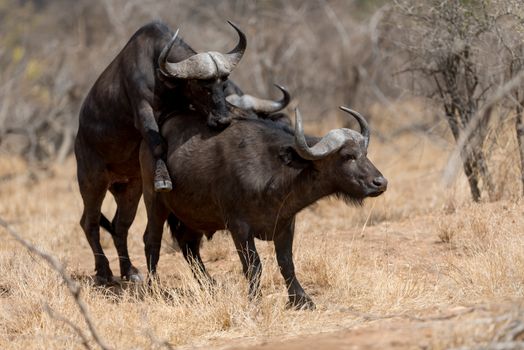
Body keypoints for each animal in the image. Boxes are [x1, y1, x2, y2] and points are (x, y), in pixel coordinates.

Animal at [74, 20, 288, 284]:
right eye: (202, 85)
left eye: (222, 83)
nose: (222, 120)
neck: (162, 77)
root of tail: (79, 136)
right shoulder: (143, 111)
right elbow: (158, 143)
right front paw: (163, 178)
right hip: (92, 180)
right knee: (90, 223)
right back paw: (104, 272)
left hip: (130, 188)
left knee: (120, 225)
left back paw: (129, 271)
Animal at [141, 106, 386, 308]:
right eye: (347, 156)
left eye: (365, 153)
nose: (380, 183)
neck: (273, 172)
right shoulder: (238, 227)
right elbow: (253, 266)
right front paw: (255, 301)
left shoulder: (285, 223)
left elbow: (286, 262)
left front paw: (301, 300)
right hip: (155, 203)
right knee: (152, 242)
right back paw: (154, 289)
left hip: (193, 216)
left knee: (189, 247)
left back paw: (210, 286)